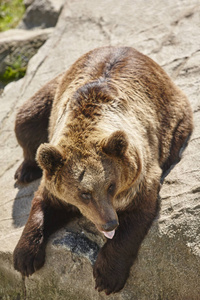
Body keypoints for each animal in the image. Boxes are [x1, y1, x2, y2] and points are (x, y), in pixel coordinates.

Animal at [13, 47, 193, 296]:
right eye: (84, 193)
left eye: (111, 186)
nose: (109, 223)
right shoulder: (57, 177)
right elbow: (43, 204)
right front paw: (24, 258)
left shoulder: (140, 173)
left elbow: (133, 220)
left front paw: (107, 278)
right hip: (53, 91)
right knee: (26, 119)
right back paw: (25, 170)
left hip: (171, 114)